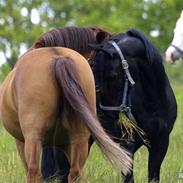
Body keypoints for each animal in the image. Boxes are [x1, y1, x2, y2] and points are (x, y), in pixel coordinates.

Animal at [0, 46, 132, 182]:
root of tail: (59, 57)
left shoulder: (21, 141)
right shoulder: (66, 145)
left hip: (33, 139)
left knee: (34, 172)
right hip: (79, 139)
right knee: (75, 173)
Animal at [91, 29, 177, 182]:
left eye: (112, 76)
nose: (109, 116)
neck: (153, 101)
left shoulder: (160, 143)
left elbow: (153, 176)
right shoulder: (127, 145)